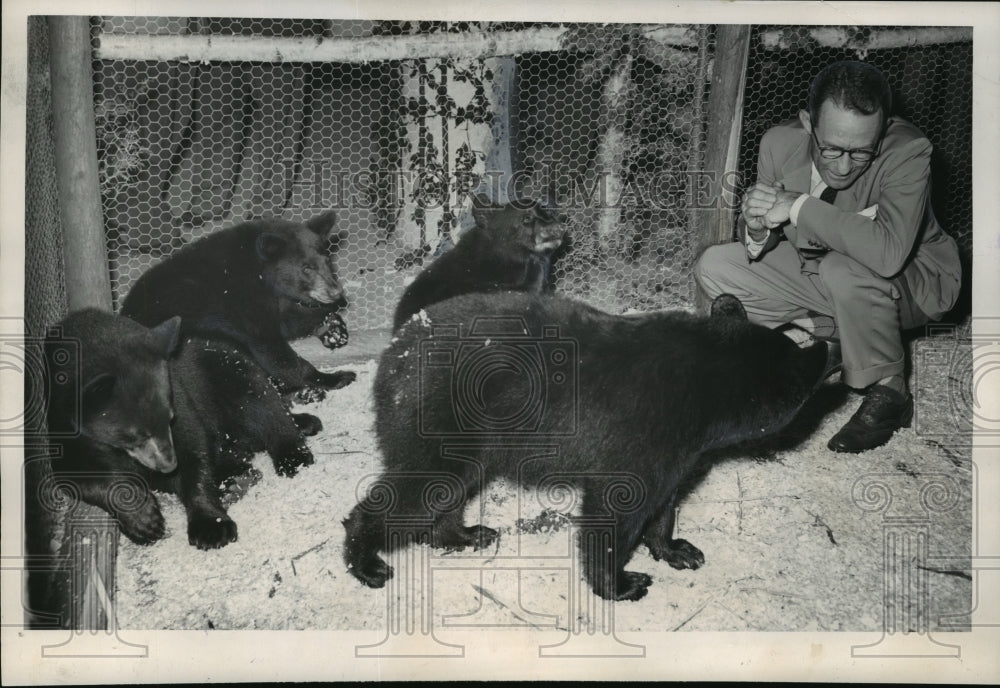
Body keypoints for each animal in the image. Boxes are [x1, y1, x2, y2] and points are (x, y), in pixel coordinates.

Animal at [44, 308, 322, 549]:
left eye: (169, 418)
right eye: (132, 435)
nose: (168, 465)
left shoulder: (178, 393)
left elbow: (192, 446)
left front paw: (211, 526)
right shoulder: (59, 426)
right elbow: (77, 474)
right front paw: (143, 520)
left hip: (226, 367)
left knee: (263, 403)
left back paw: (292, 452)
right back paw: (236, 478)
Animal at [120, 211, 355, 398]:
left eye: (328, 261)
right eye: (306, 268)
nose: (336, 292)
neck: (260, 274)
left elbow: (289, 321)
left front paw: (334, 330)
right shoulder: (242, 300)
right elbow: (271, 347)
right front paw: (335, 377)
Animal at [343, 291, 833, 601]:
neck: (704, 381)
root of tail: (394, 351)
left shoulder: (677, 447)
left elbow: (665, 500)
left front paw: (677, 549)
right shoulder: (643, 432)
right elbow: (617, 506)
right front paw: (622, 584)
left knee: (450, 486)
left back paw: (465, 534)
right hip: (437, 414)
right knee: (419, 487)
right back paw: (367, 563)